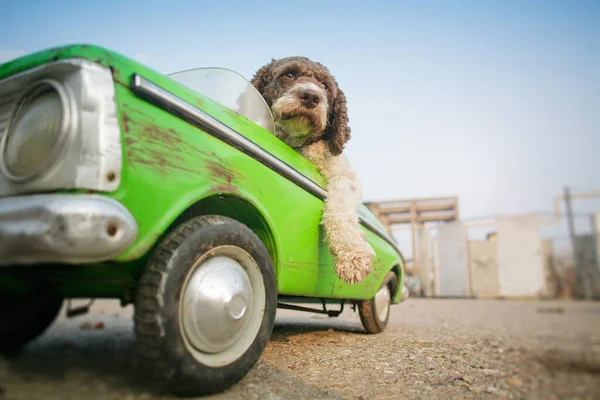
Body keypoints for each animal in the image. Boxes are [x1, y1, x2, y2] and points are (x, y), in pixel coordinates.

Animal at [250, 57, 372, 284]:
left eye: (325, 86)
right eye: (289, 74)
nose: (311, 96)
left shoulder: (344, 175)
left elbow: (339, 208)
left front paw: (352, 256)